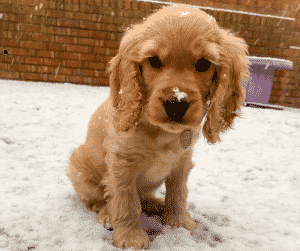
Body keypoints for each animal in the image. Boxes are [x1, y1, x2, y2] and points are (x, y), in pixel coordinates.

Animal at [67, 3, 250, 249]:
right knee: (97, 199)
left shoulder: (182, 160)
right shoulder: (122, 162)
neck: (162, 133)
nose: (176, 103)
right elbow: (126, 201)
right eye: (153, 61)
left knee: (143, 197)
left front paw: (178, 222)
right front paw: (131, 237)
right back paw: (107, 214)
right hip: (80, 168)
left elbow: (178, 193)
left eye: (204, 63)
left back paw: (155, 203)